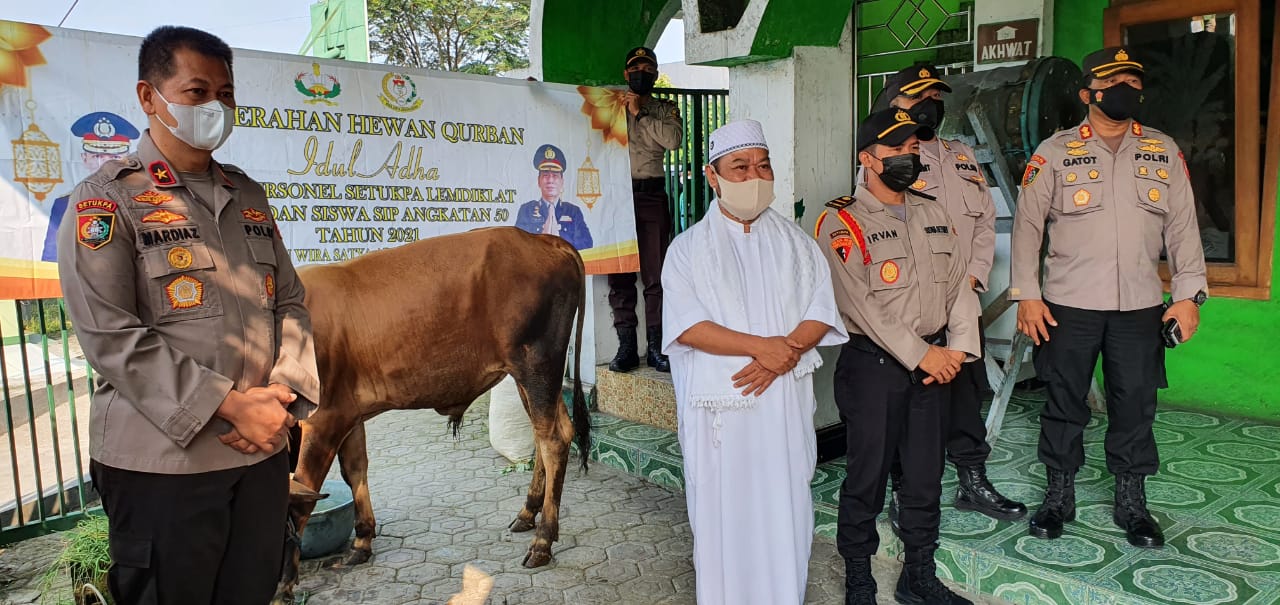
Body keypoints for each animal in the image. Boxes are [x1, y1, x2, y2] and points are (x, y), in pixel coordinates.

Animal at [273, 227, 588, 603]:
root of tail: (541, 239)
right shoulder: (349, 414)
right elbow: (355, 471)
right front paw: (362, 541)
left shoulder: (323, 420)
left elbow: (301, 499)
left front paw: (283, 584)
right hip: (530, 377)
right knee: (550, 434)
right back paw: (527, 513)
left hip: (537, 365)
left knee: (553, 440)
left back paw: (543, 541)